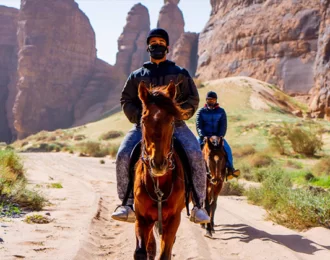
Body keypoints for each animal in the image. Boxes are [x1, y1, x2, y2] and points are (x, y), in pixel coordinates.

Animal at [133, 80, 189, 258]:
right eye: (144, 120)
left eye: (171, 121)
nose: (158, 164)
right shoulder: (141, 218)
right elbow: (140, 252)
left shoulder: (173, 220)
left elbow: (165, 254)